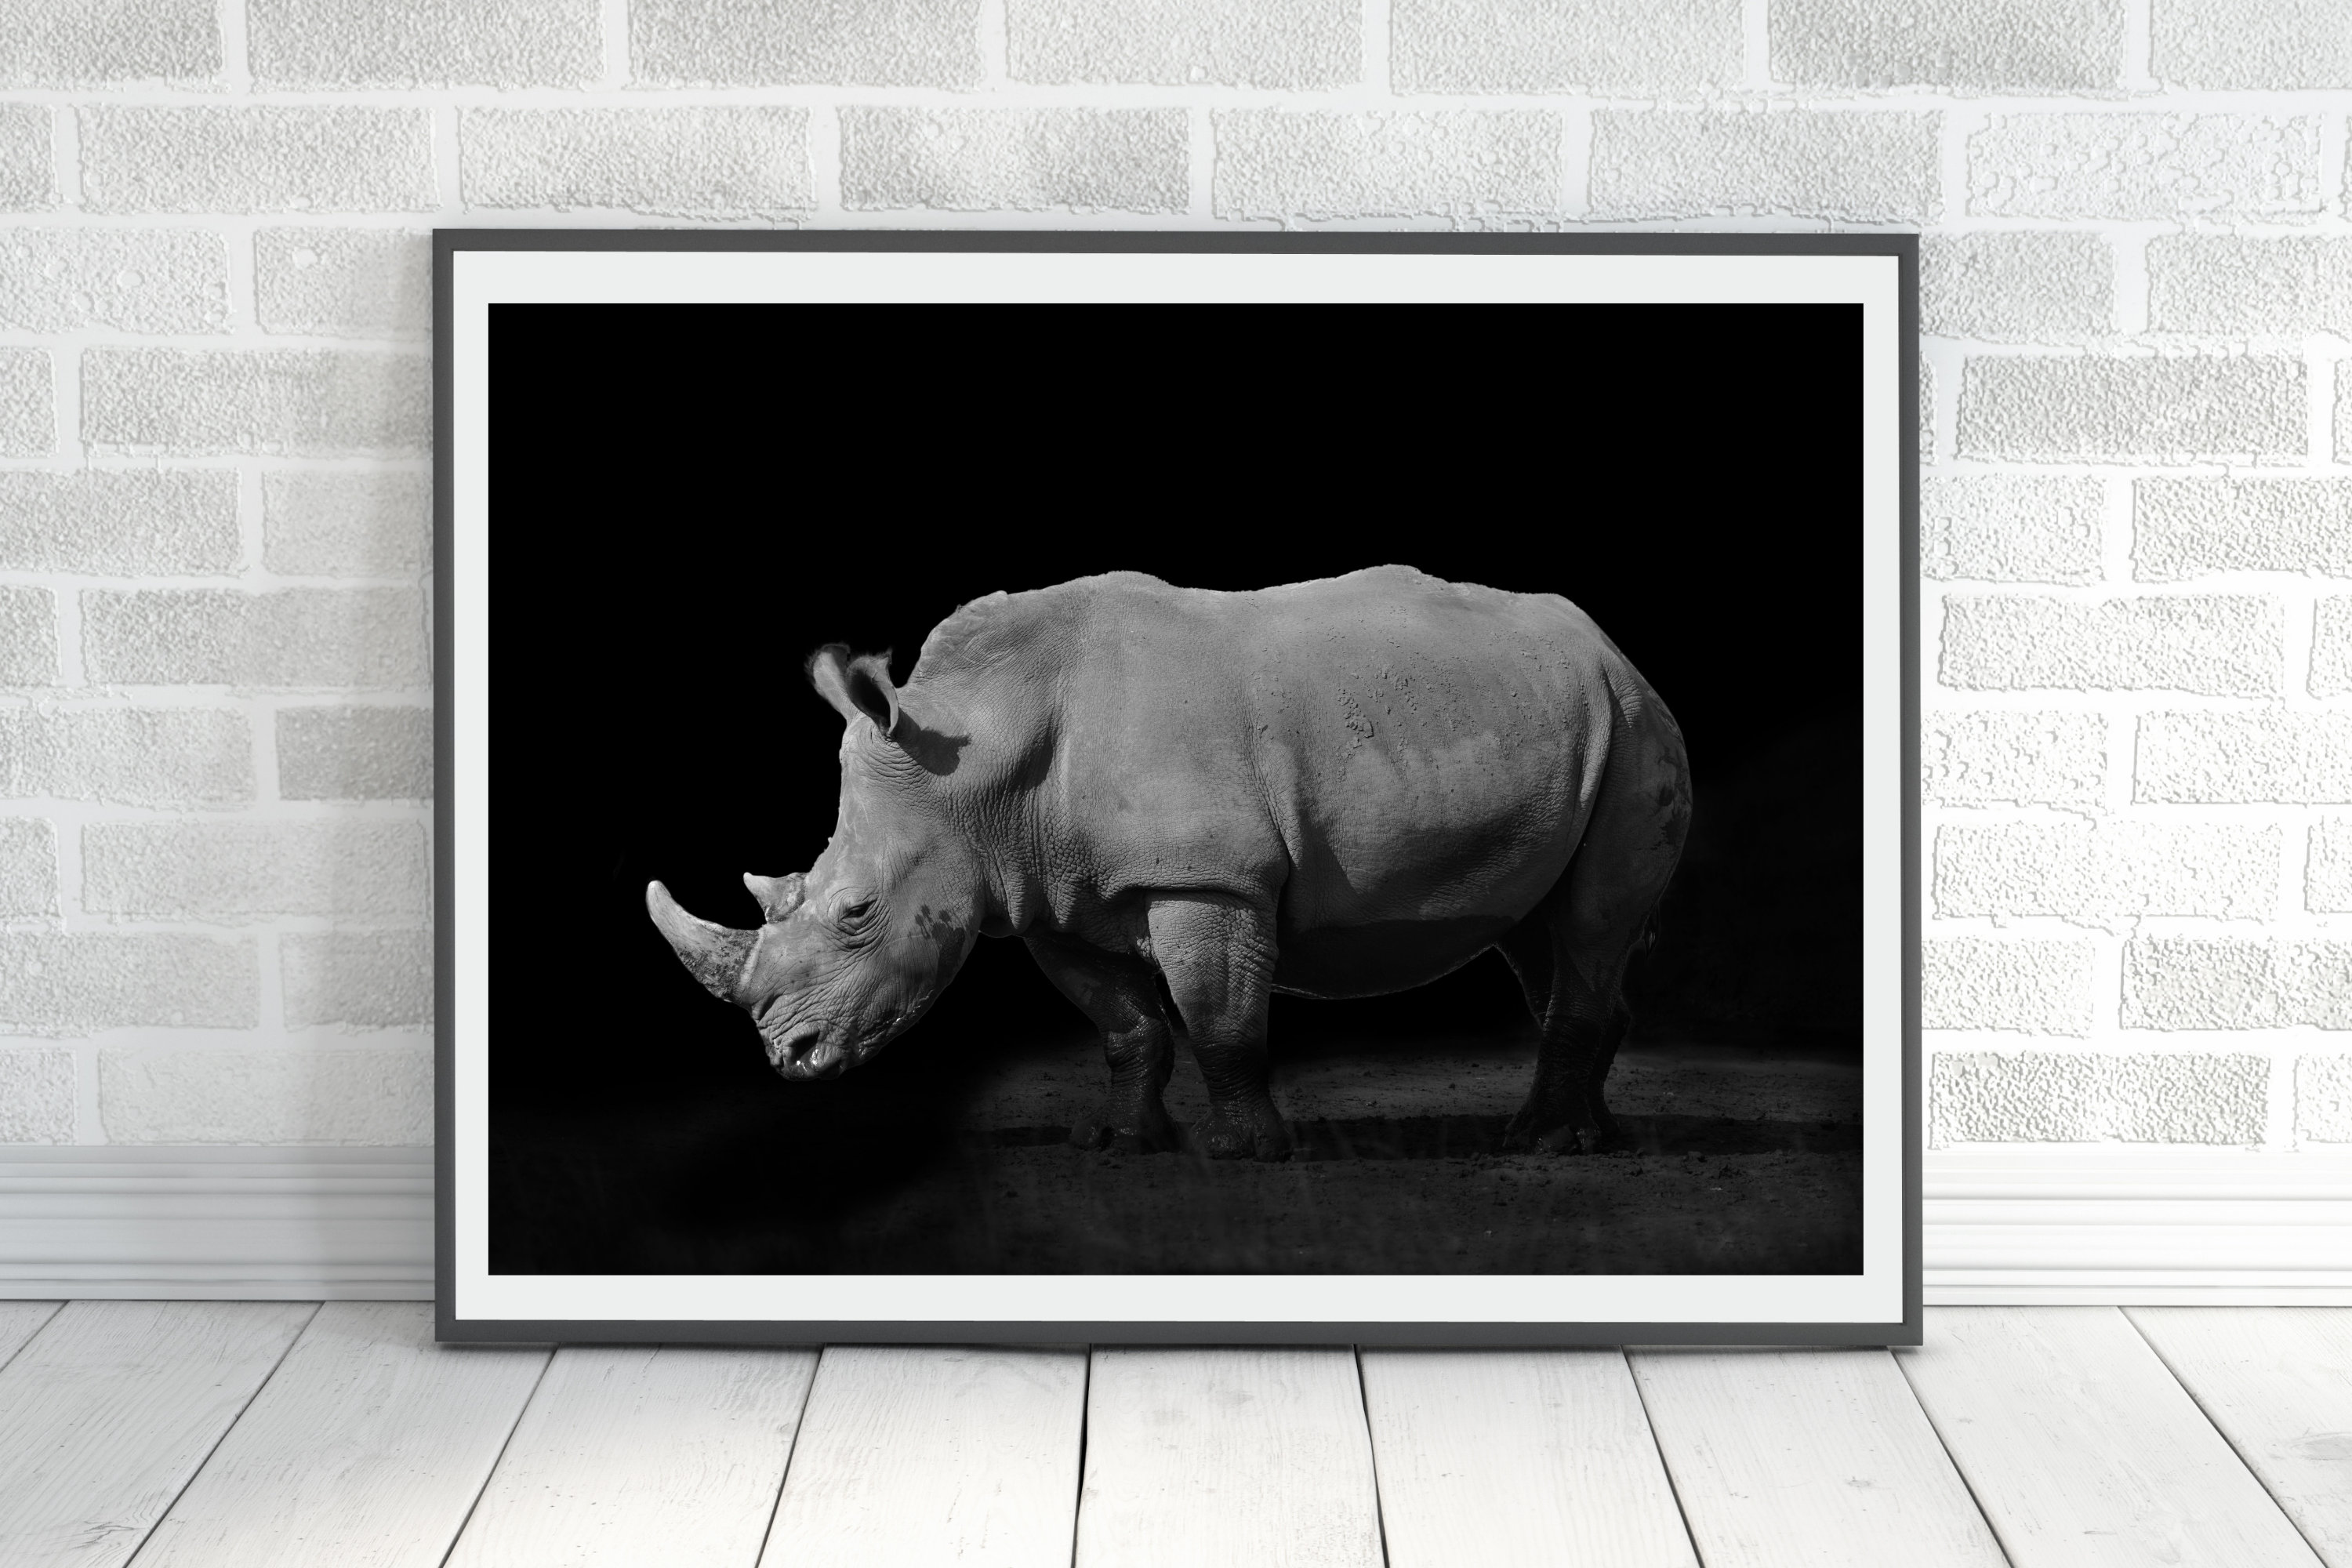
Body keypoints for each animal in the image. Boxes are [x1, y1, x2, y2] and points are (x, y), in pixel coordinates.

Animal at [647, 566, 1690, 1162]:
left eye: (858, 910)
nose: (789, 1058)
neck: (975, 761)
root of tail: (1612, 647)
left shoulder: (1205, 876)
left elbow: (1218, 1015)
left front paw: (1245, 1154)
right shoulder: (1045, 890)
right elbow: (1127, 1026)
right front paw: (1117, 1142)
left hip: (1633, 726)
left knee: (1589, 924)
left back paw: (1549, 1143)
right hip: (1561, 719)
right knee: (1542, 936)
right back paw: (1594, 1134)